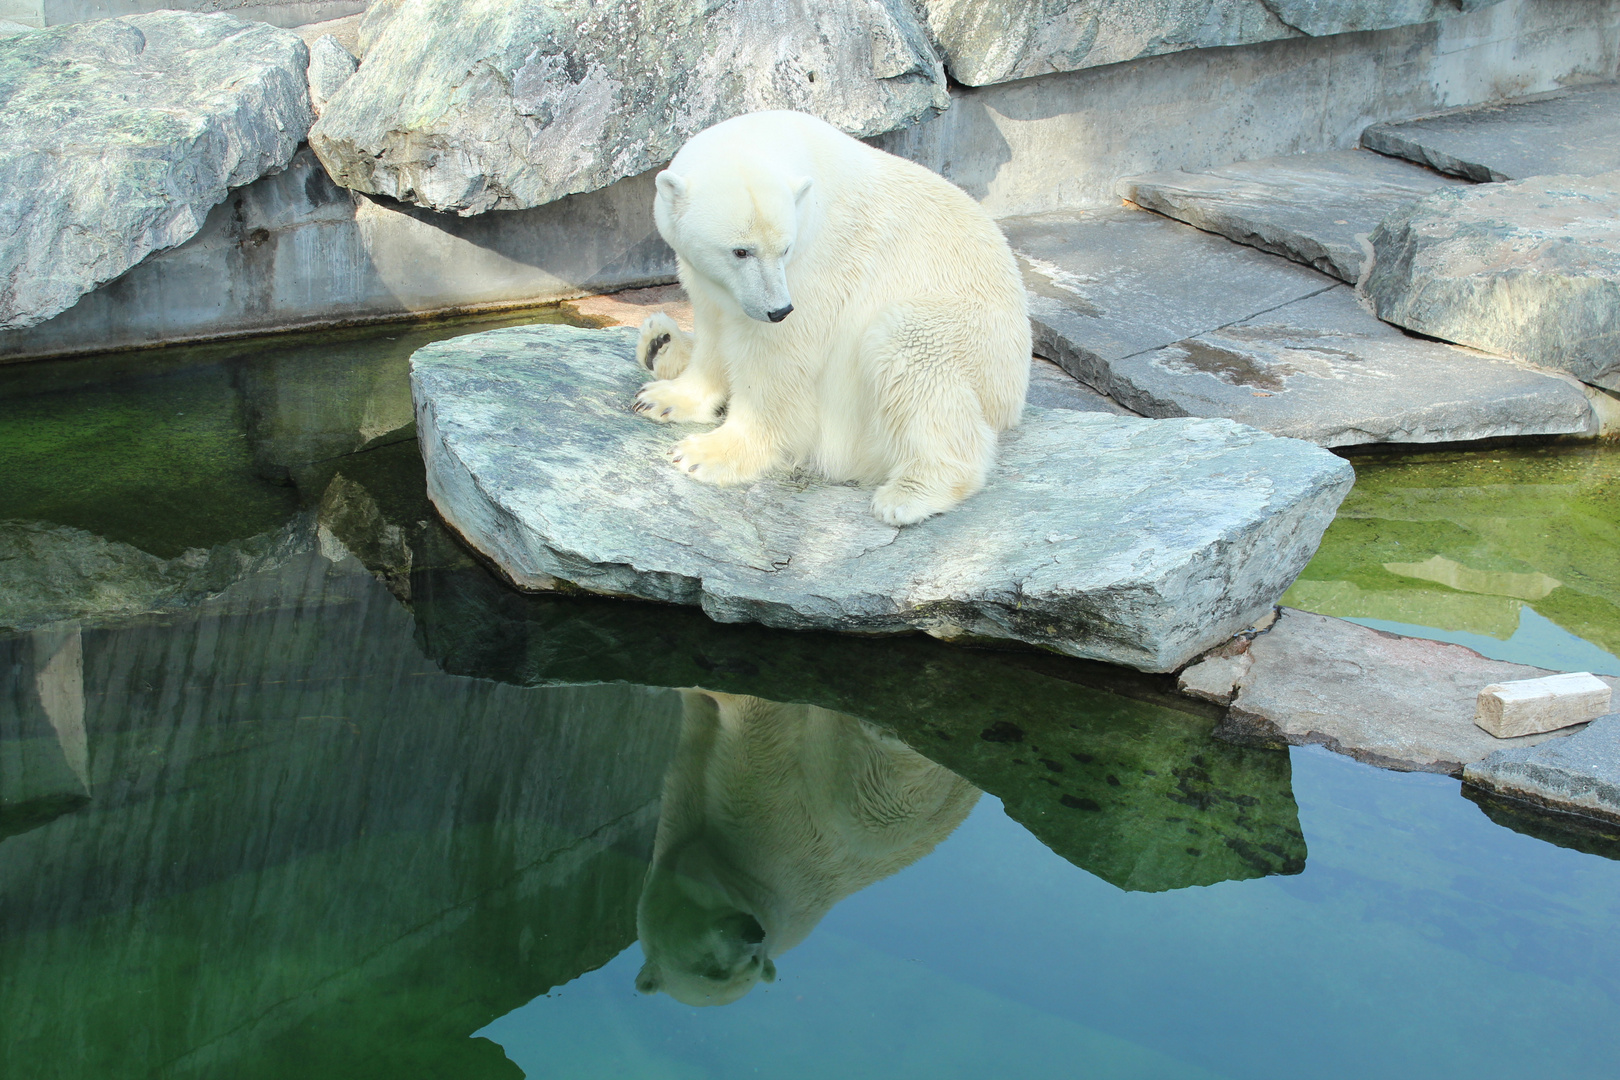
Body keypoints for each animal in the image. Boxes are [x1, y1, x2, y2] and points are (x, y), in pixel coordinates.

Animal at [628, 110, 1023, 527]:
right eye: (740, 251)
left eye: (784, 248)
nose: (778, 310)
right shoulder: (712, 281)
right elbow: (714, 327)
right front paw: (663, 398)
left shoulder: (814, 269)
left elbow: (776, 363)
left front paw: (705, 454)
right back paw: (659, 344)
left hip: (976, 345)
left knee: (910, 352)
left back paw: (909, 494)